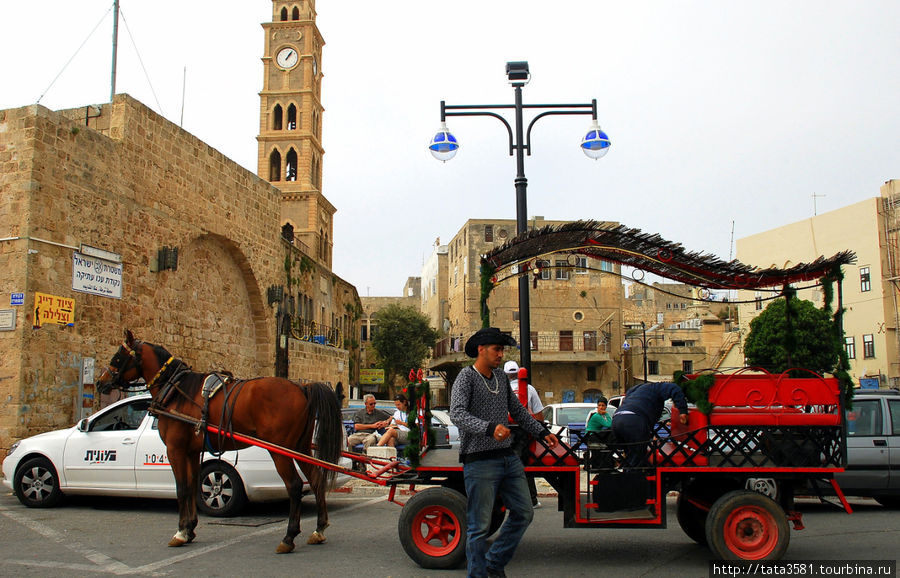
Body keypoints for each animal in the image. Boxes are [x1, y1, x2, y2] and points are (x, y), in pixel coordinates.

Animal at [94, 326, 342, 552]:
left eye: (118, 356)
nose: (100, 382)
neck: (176, 391)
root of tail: (302, 387)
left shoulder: (175, 449)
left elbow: (181, 487)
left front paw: (180, 532)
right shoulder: (192, 450)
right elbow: (192, 484)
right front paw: (190, 528)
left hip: (280, 449)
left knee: (295, 485)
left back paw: (289, 537)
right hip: (300, 446)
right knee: (316, 479)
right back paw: (319, 529)